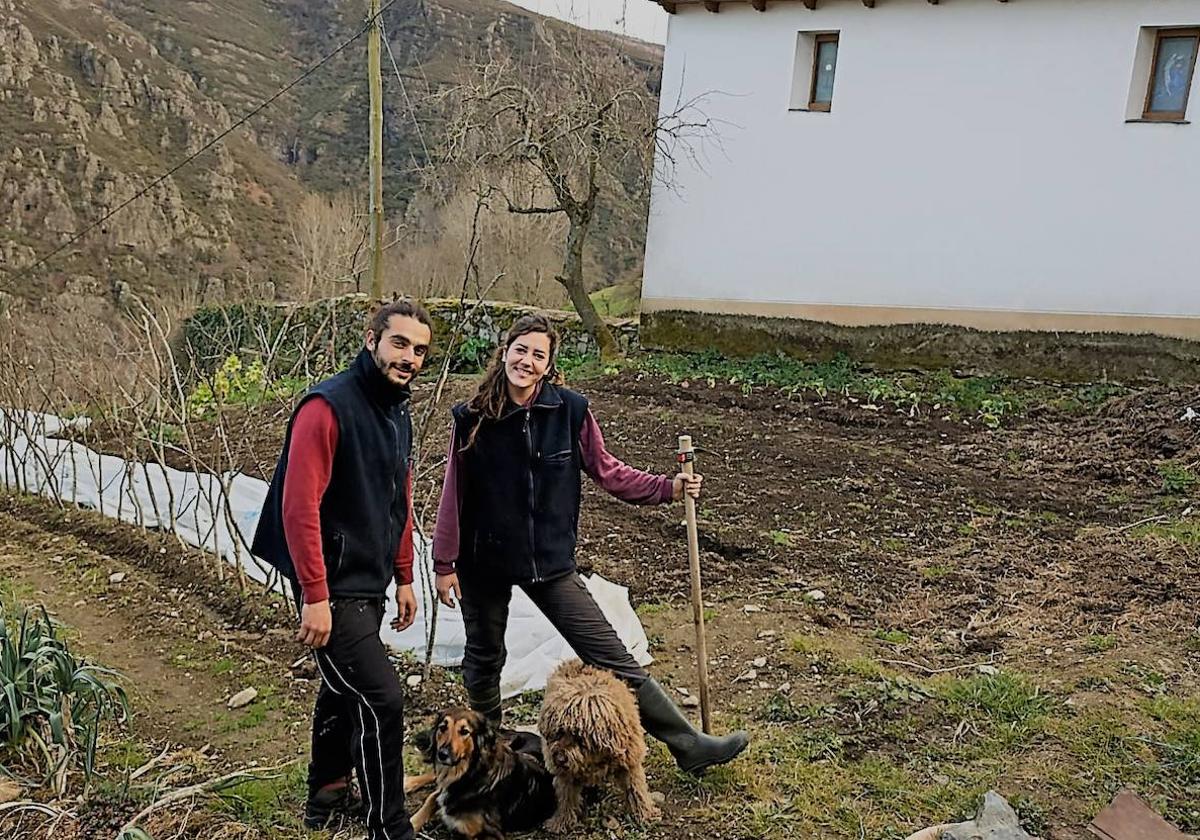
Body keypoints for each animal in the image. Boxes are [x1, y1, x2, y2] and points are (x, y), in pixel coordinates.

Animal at [400, 705, 554, 835]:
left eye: (464, 732)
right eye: (442, 727)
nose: (442, 754)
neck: (471, 774)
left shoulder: (488, 833)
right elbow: (430, 800)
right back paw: (408, 782)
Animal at [540, 662, 662, 835]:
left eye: (579, 737)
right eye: (559, 732)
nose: (559, 758)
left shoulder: (629, 761)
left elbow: (636, 789)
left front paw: (646, 814)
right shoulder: (565, 775)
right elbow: (566, 797)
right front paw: (560, 822)